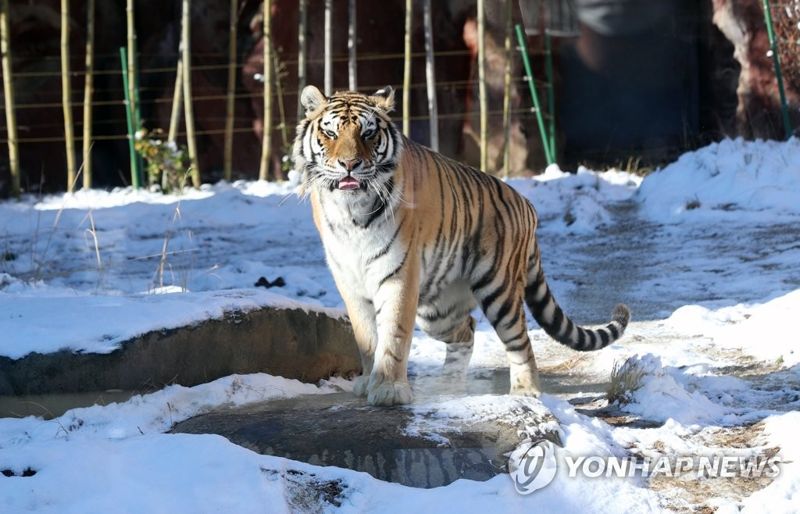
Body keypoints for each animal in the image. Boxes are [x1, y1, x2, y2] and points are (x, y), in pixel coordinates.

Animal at [294, 84, 632, 404]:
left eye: (368, 133)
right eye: (330, 133)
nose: (349, 164)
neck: (351, 210)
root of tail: (527, 204)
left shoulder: (399, 275)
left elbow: (393, 335)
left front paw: (389, 389)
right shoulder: (349, 279)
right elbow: (366, 338)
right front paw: (367, 382)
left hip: (499, 289)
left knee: (520, 342)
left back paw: (526, 391)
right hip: (437, 311)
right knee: (466, 330)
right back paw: (450, 385)